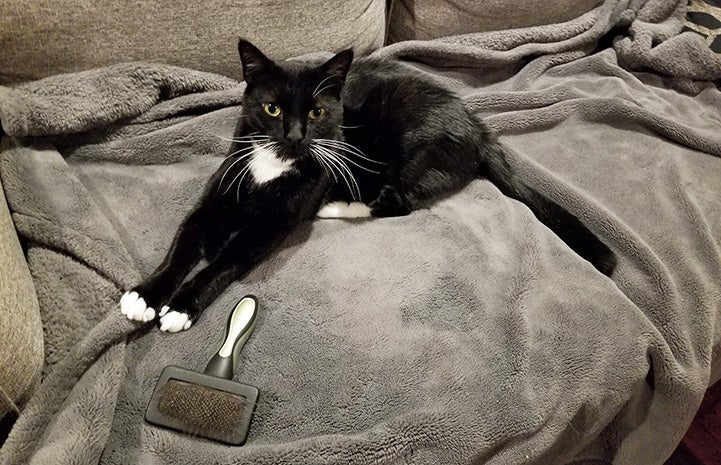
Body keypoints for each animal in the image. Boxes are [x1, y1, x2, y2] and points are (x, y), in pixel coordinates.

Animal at [118, 39, 612, 330]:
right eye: (272, 109)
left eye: (317, 112)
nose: (295, 135)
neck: (274, 163)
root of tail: (478, 126)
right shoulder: (219, 195)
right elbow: (185, 242)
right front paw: (145, 296)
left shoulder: (270, 228)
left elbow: (223, 262)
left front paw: (181, 307)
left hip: (413, 151)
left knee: (398, 201)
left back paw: (338, 207)